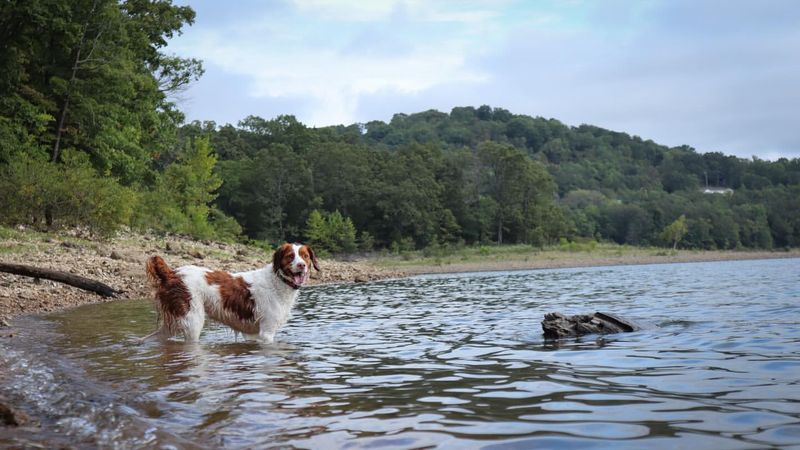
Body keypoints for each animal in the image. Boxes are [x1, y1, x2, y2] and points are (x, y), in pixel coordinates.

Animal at [144, 244, 318, 342]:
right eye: (290, 256)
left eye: (305, 256)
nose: (302, 265)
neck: (277, 280)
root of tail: (172, 273)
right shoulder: (266, 332)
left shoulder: (252, 334)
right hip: (192, 321)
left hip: (172, 324)